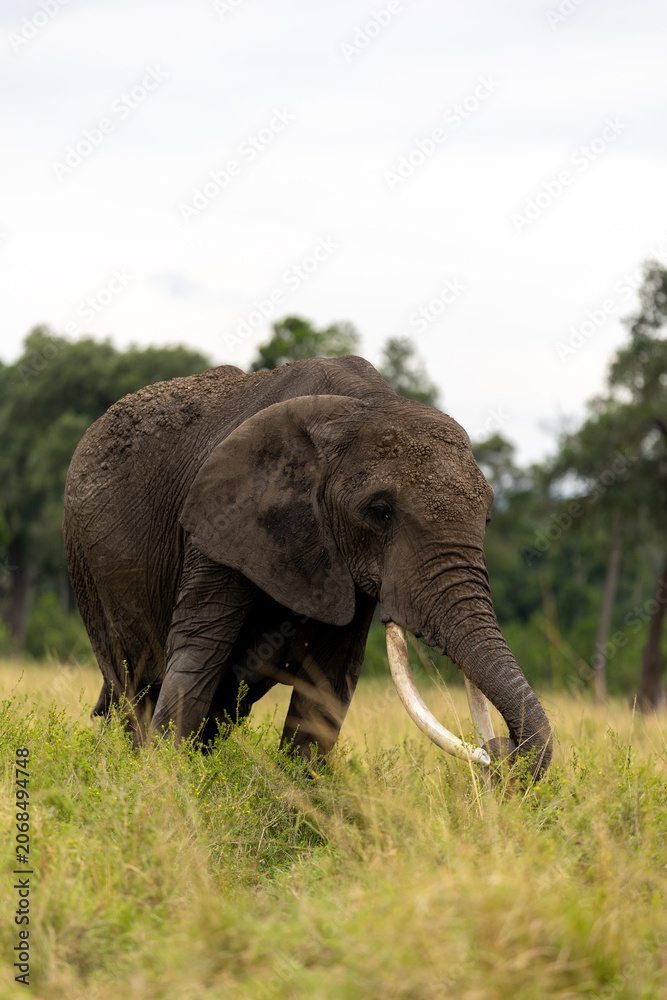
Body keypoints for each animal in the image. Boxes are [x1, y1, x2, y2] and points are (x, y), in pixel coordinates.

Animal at [63, 355, 552, 777]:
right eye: (380, 511)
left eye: (487, 519)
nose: (500, 752)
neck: (363, 405)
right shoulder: (220, 522)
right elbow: (198, 659)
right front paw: (165, 786)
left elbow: (328, 685)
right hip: (86, 566)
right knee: (133, 687)